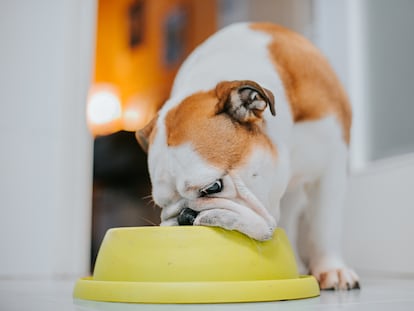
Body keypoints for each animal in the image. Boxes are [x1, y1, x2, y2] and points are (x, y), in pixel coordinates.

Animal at [136, 22, 360, 290]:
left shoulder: (330, 168)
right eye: (162, 205)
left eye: (213, 187)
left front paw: (332, 269)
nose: (184, 216)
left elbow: (325, 225)